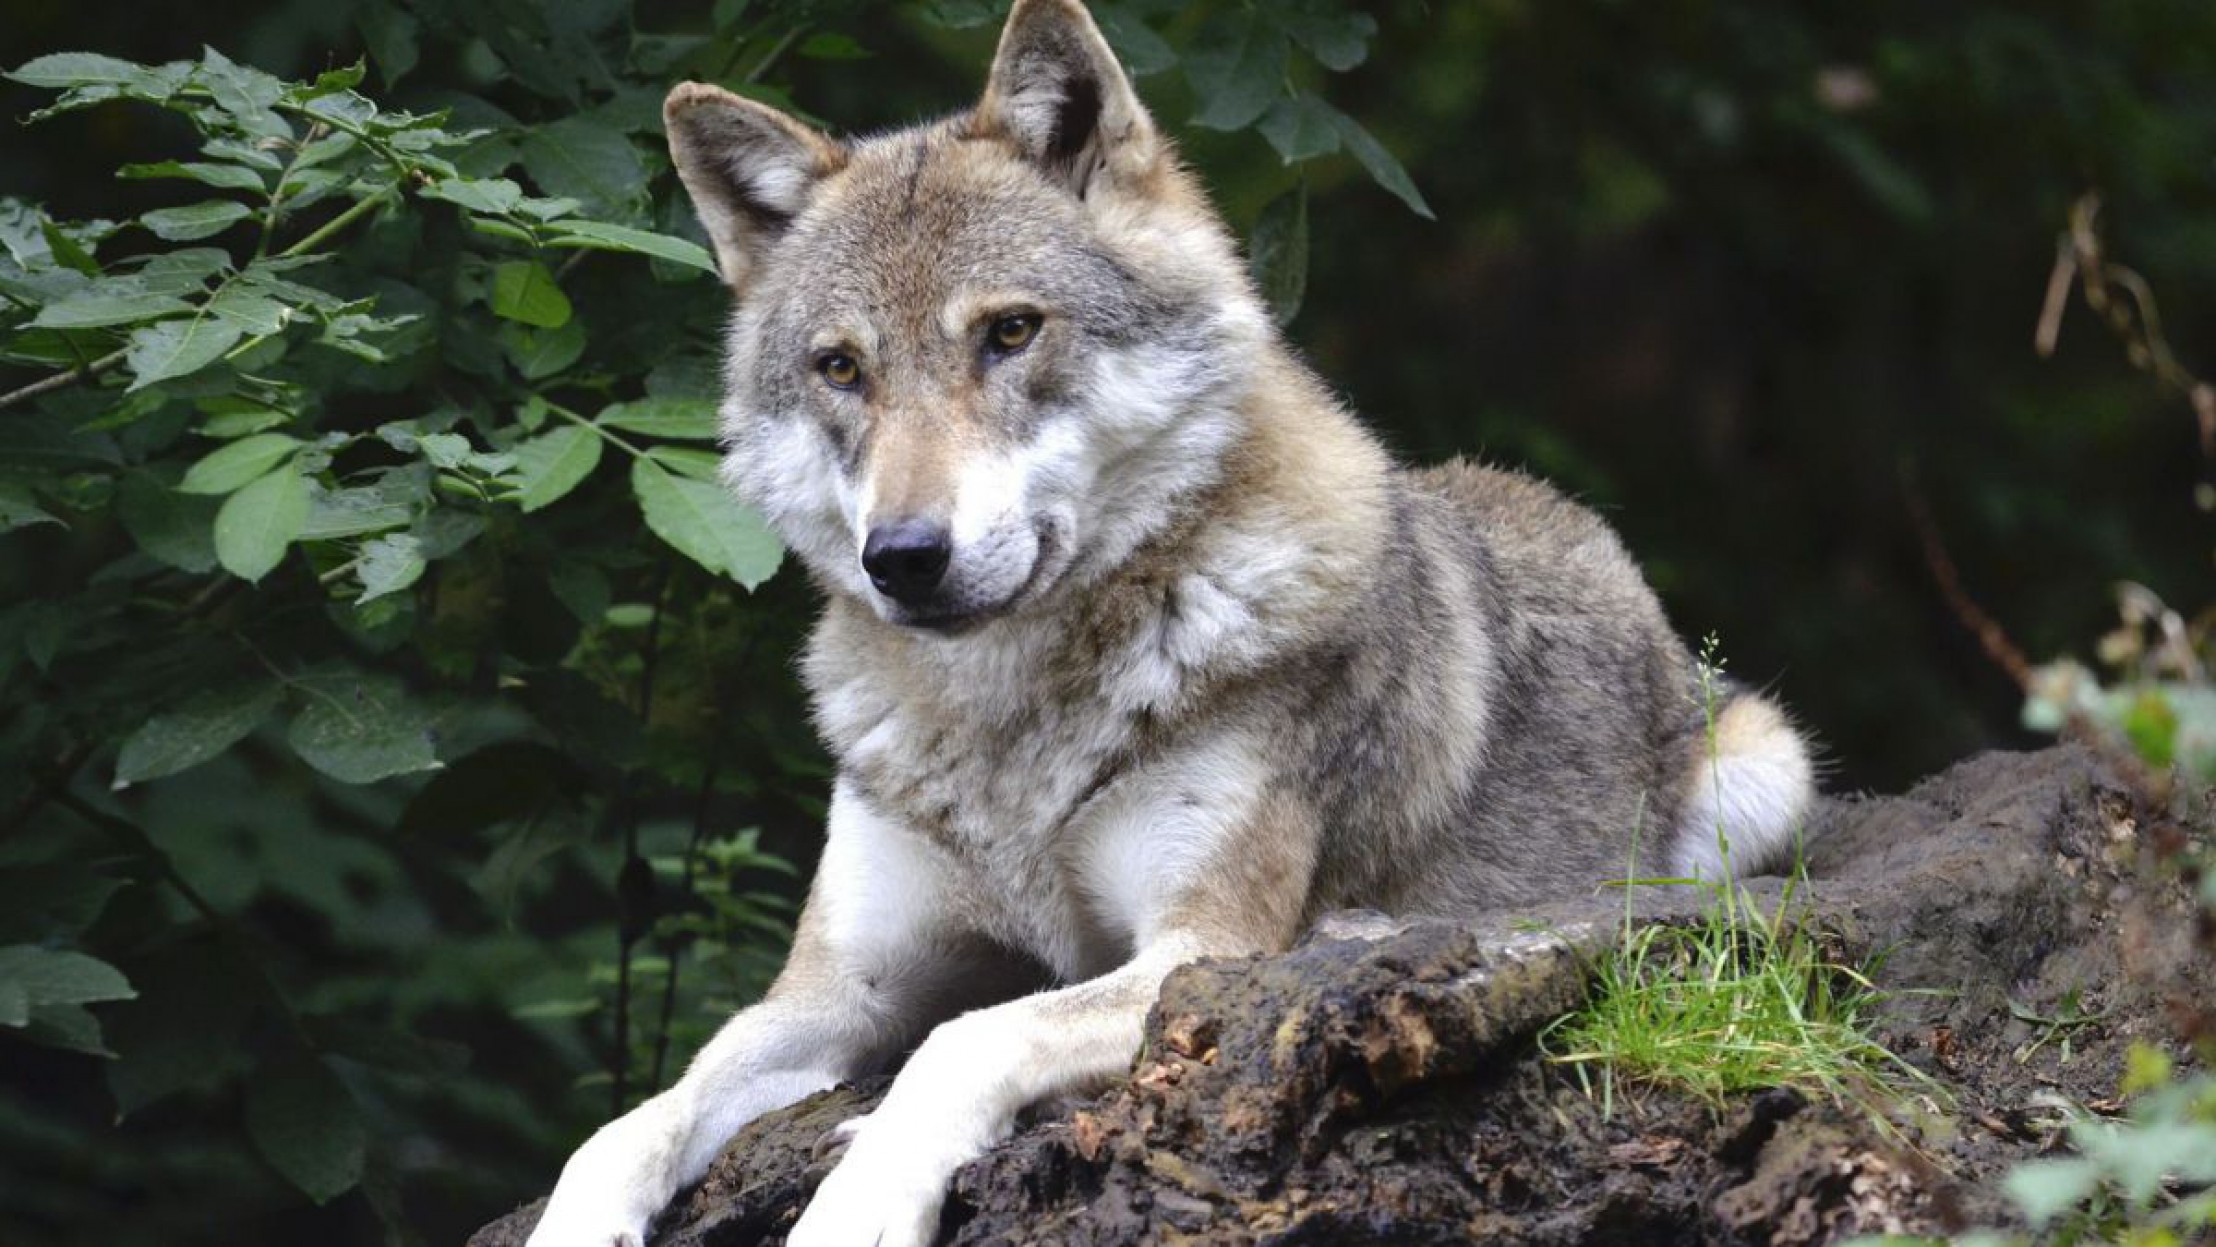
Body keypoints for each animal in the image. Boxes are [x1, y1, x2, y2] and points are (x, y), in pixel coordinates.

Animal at [526, 2, 1816, 1244]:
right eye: (841, 368)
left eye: (1008, 332)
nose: (902, 557)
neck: (1009, 728)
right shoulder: (837, 989)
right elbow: (633, 1115)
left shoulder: (1200, 949)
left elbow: (968, 1034)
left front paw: (857, 1200)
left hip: (1762, 780)